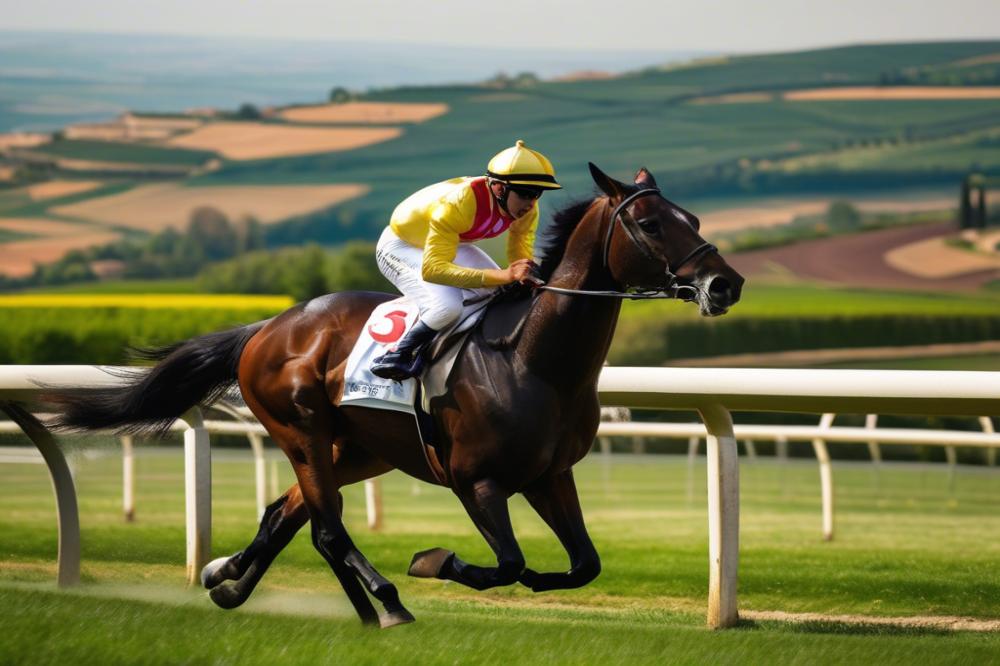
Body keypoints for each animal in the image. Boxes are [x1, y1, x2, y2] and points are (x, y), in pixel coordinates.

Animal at [51, 163, 744, 629]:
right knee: (327, 528)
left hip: (358, 449)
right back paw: (385, 605)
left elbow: (582, 565)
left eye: (694, 220)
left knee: (288, 516)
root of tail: (266, 328)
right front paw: (432, 561)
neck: (533, 361)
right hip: (301, 429)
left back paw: (229, 580)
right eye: (650, 224)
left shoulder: (551, 476)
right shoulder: (475, 480)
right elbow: (508, 562)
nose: (726, 284)